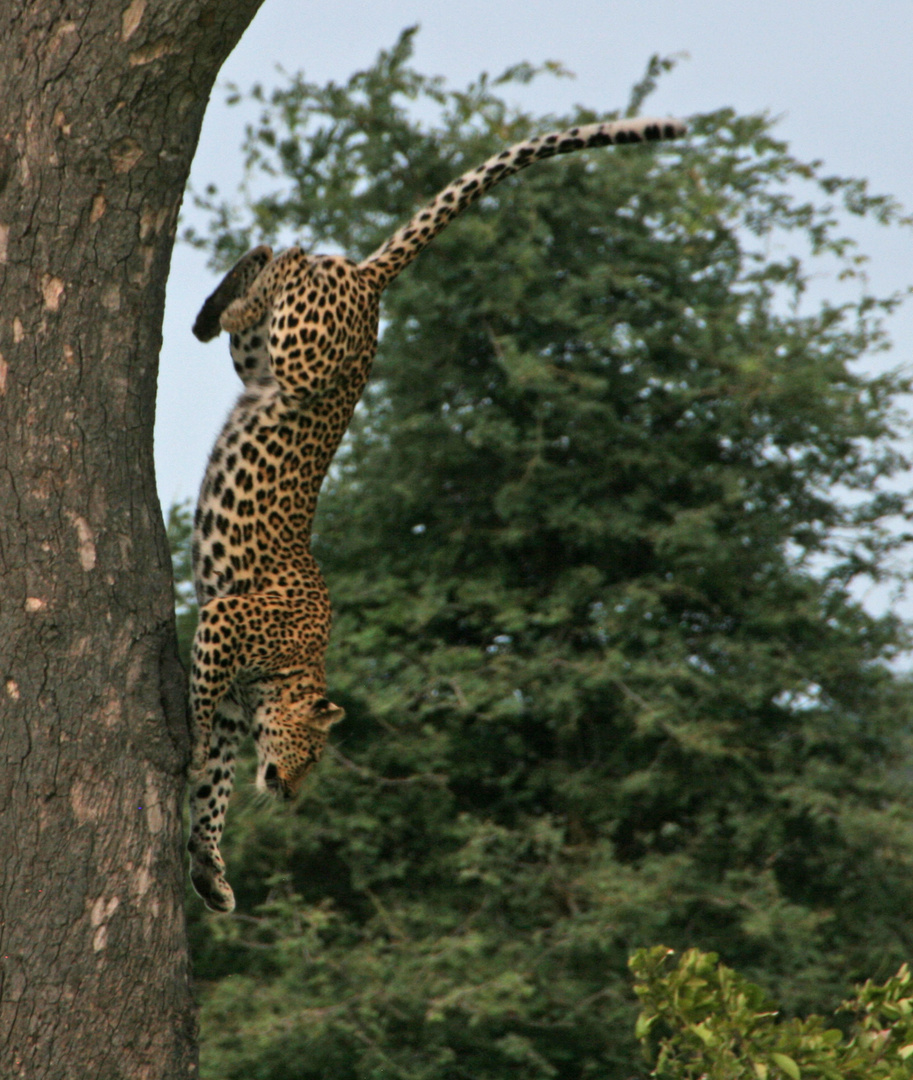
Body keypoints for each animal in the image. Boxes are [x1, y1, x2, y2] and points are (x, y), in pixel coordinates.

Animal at [186, 111, 682, 911]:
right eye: (314, 755)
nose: (292, 794)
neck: (290, 674)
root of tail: (370, 282)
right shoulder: (226, 619)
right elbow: (205, 732)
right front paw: (194, 752)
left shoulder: (234, 684)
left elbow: (216, 789)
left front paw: (210, 871)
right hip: (302, 354)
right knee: (291, 257)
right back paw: (246, 285)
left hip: (261, 364)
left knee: (269, 275)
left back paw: (218, 302)